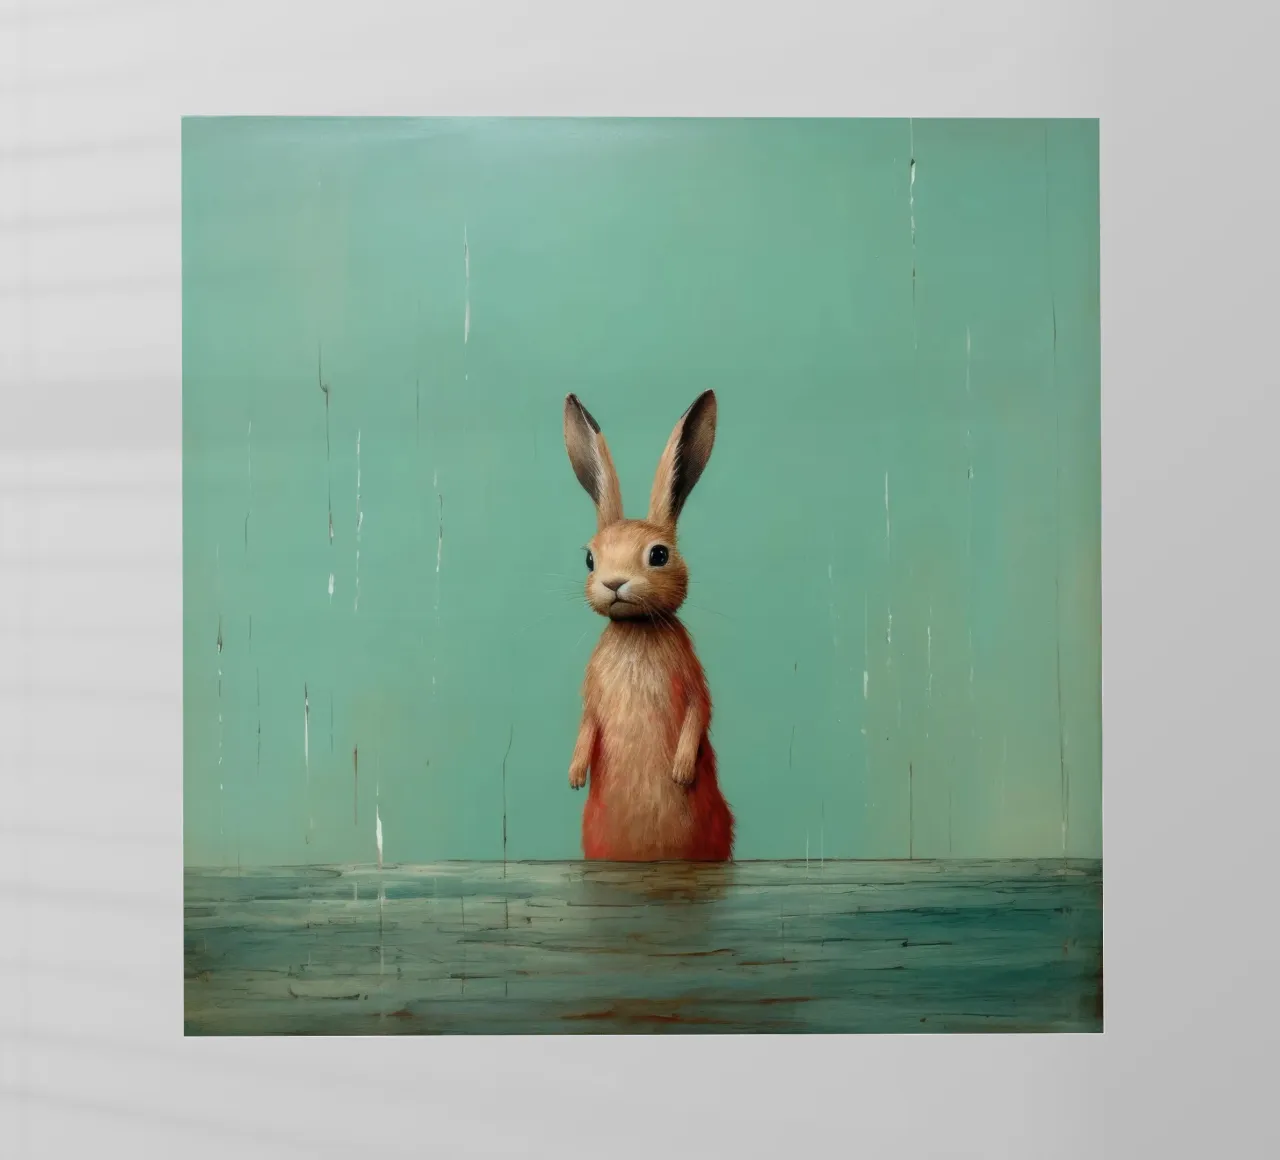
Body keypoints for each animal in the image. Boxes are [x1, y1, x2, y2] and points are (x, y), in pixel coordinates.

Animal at [562, 389, 734, 862]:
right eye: (590, 559)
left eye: (659, 555)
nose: (614, 583)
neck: (636, 628)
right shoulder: (592, 695)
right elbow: (587, 723)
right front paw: (575, 775)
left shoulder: (694, 681)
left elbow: (699, 712)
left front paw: (680, 772)